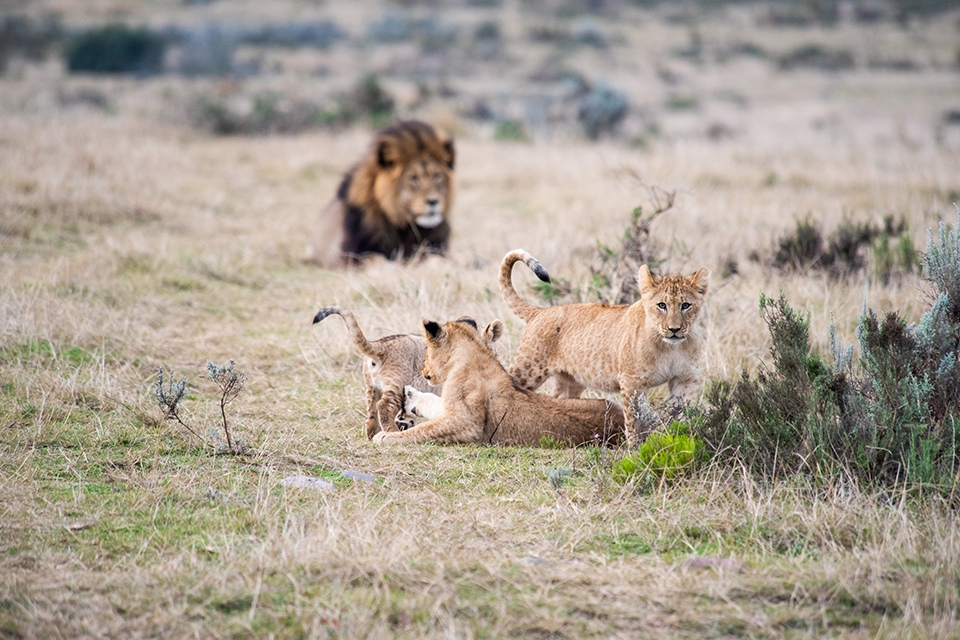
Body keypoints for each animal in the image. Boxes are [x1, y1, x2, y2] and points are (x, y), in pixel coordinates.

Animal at [310, 120, 456, 268]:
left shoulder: (436, 247)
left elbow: (438, 258)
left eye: (437, 175)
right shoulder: (349, 256)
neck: (404, 225)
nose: (433, 201)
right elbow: (376, 259)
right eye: (413, 178)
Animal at [314, 306, 502, 440]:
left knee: (371, 410)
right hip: (397, 382)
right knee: (383, 405)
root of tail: (381, 345)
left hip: (371, 387)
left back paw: (373, 433)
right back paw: (390, 431)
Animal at [368, 316, 624, 444]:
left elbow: (424, 430)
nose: (424, 372)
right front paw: (410, 398)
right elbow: (434, 404)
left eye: (427, 350)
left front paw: (386, 436)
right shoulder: (453, 408)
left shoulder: (468, 424)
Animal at [498, 248, 708, 448]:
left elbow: (683, 413)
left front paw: (682, 437)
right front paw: (635, 448)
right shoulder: (632, 381)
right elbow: (634, 418)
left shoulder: (685, 378)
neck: (669, 347)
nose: (674, 329)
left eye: (686, 305)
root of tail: (539, 311)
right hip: (528, 369)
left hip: (571, 381)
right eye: (661, 305)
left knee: (558, 398)